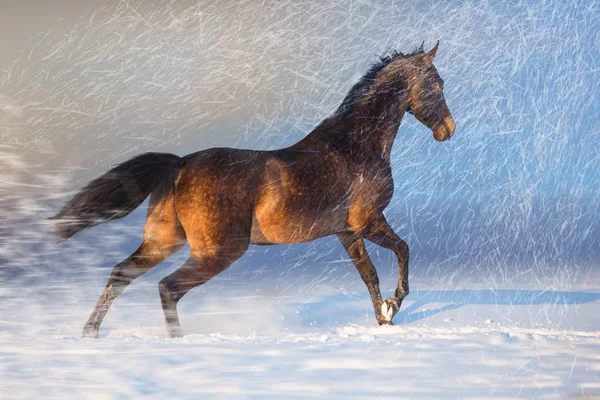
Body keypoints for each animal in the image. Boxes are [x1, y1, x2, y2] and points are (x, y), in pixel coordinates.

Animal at [52, 41, 454, 338]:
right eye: (436, 84)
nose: (447, 129)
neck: (354, 146)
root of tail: (180, 164)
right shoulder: (368, 221)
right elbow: (403, 250)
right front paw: (394, 304)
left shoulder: (346, 232)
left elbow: (369, 275)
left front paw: (384, 319)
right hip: (219, 251)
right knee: (167, 287)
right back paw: (177, 342)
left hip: (164, 240)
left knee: (121, 273)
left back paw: (90, 333)